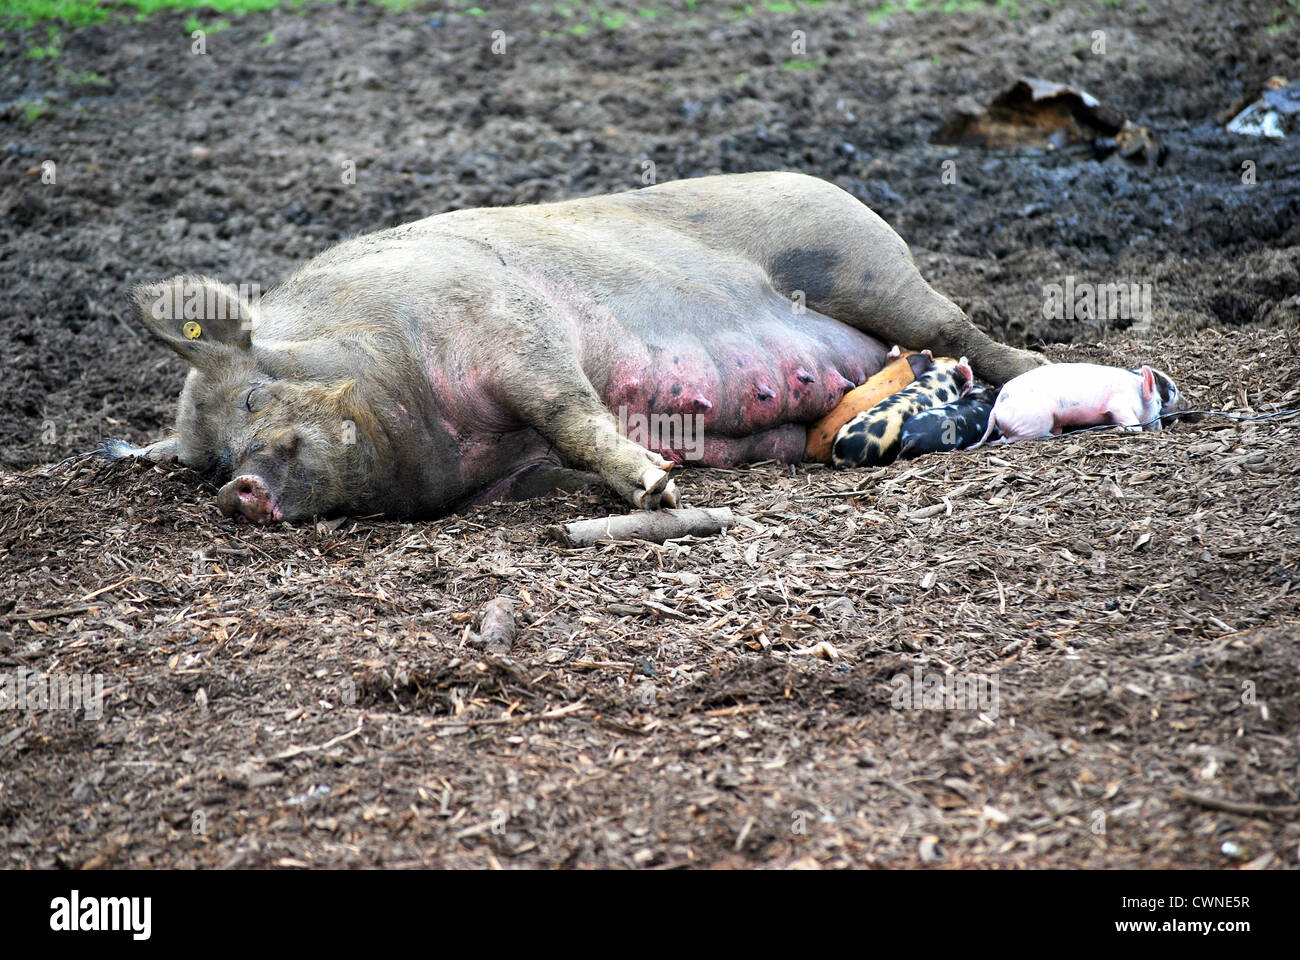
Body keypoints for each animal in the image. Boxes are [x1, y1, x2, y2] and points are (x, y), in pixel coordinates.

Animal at [977, 361, 1190, 447]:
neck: (1136, 391)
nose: (1159, 428)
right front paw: (1122, 429)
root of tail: (996, 410)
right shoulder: (1119, 403)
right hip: (1036, 419)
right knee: (1009, 439)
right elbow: (1132, 423)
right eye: (1158, 402)